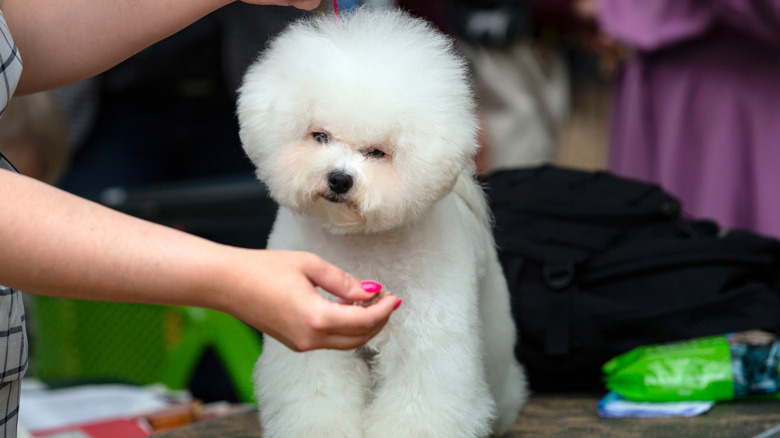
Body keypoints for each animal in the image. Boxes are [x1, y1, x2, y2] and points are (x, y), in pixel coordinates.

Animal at [238, 6, 528, 438]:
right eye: (319, 135)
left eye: (377, 152)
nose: (339, 179)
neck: (361, 240)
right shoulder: (317, 336)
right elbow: (317, 394)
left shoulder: (427, 338)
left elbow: (421, 403)